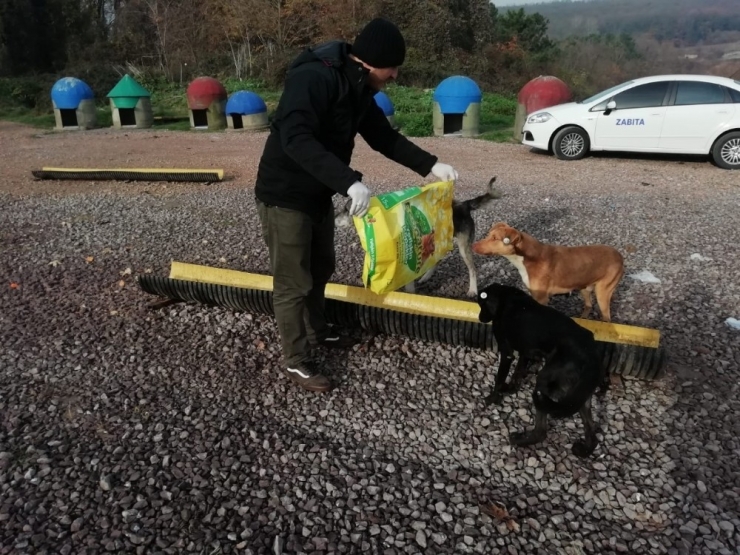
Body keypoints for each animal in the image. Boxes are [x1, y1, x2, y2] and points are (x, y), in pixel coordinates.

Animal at [472, 223, 620, 322]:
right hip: (585, 287)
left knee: (606, 318)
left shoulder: (542, 298)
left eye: (494, 238)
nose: (473, 245)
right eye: (488, 235)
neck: (527, 257)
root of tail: (620, 256)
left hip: (602, 293)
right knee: (588, 305)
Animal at [480, 284, 608, 458]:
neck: (506, 296)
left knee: (541, 432)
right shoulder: (526, 352)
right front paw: (511, 388)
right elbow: (518, 371)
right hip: (580, 396)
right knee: (591, 433)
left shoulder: (507, 352)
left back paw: (520, 440)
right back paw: (584, 450)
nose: (480, 317)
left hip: (543, 384)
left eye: (481, 305)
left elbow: (499, 379)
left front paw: (492, 398)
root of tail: (591, 357)